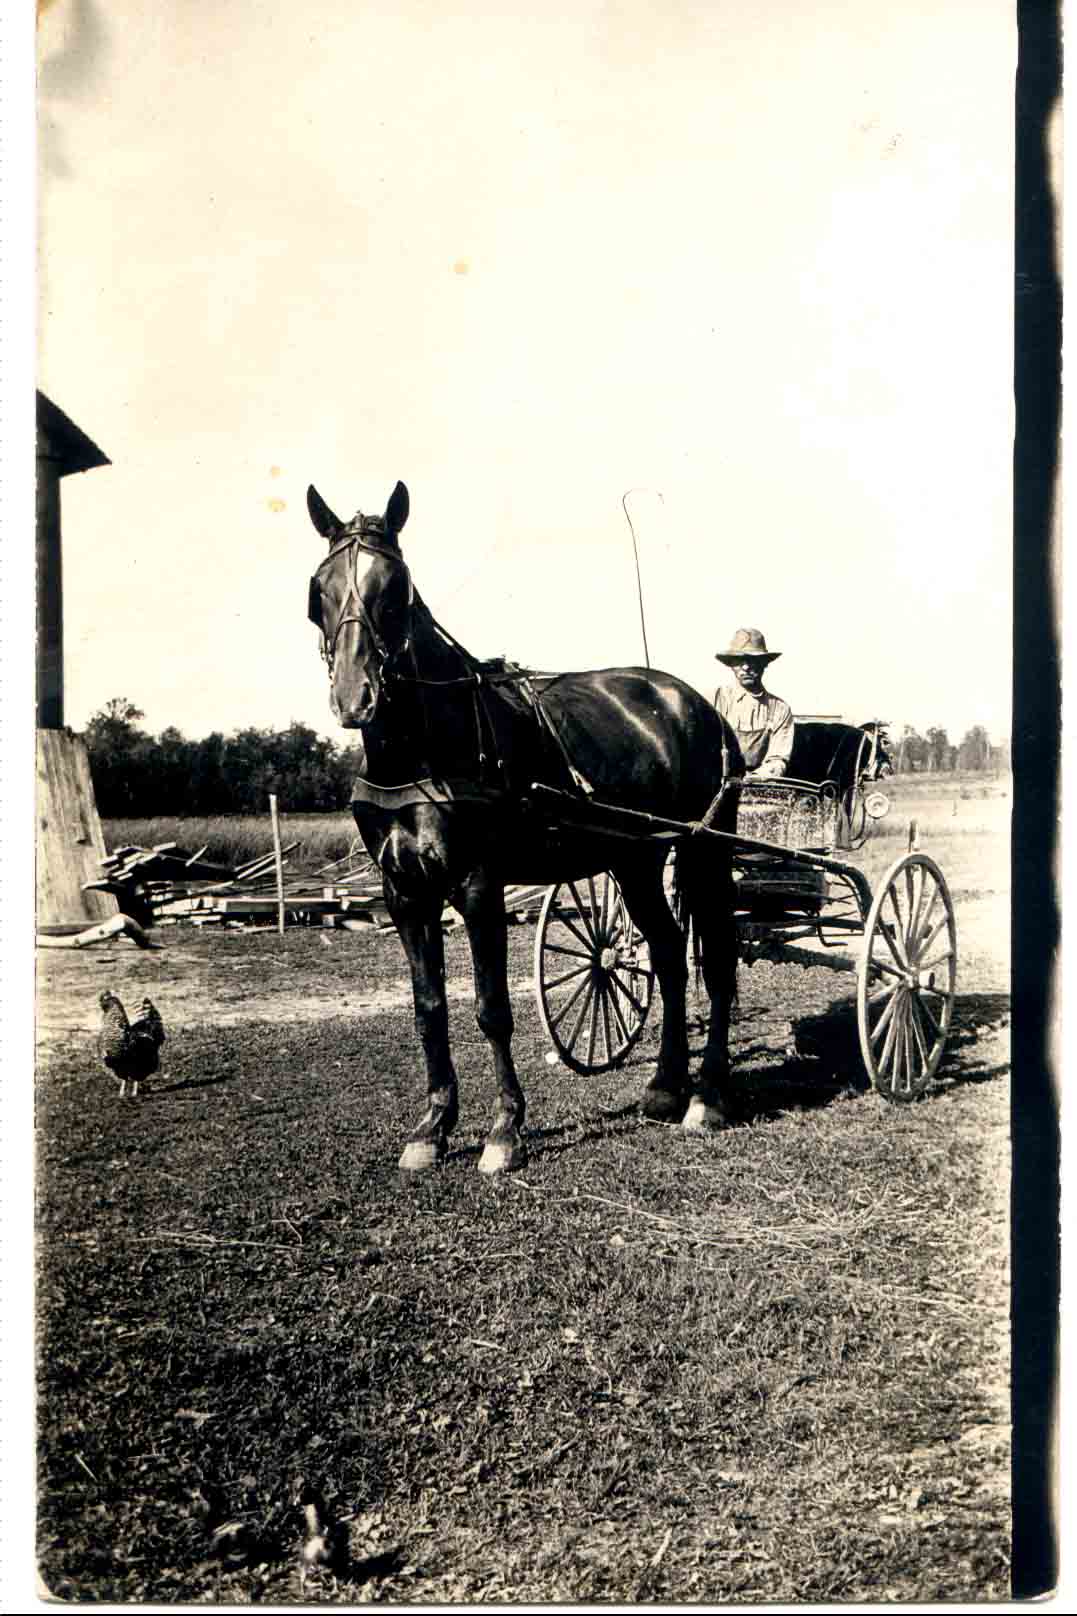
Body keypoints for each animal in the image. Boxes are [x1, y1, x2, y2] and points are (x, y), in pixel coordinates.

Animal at [302, 478, 737, 1176]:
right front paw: (432, 1128)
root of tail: (694, 702)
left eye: (395, 587)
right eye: (320, 588)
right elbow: (429, 1010)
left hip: (704, 852)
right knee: (669, 951)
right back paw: (665, 1088)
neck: (422, 749)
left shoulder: (479, 885)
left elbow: (492, 1010)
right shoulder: (404, 893)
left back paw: (709, 1098)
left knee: (716, 957)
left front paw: (505, 1131)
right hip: (636, 860)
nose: (354, 698)